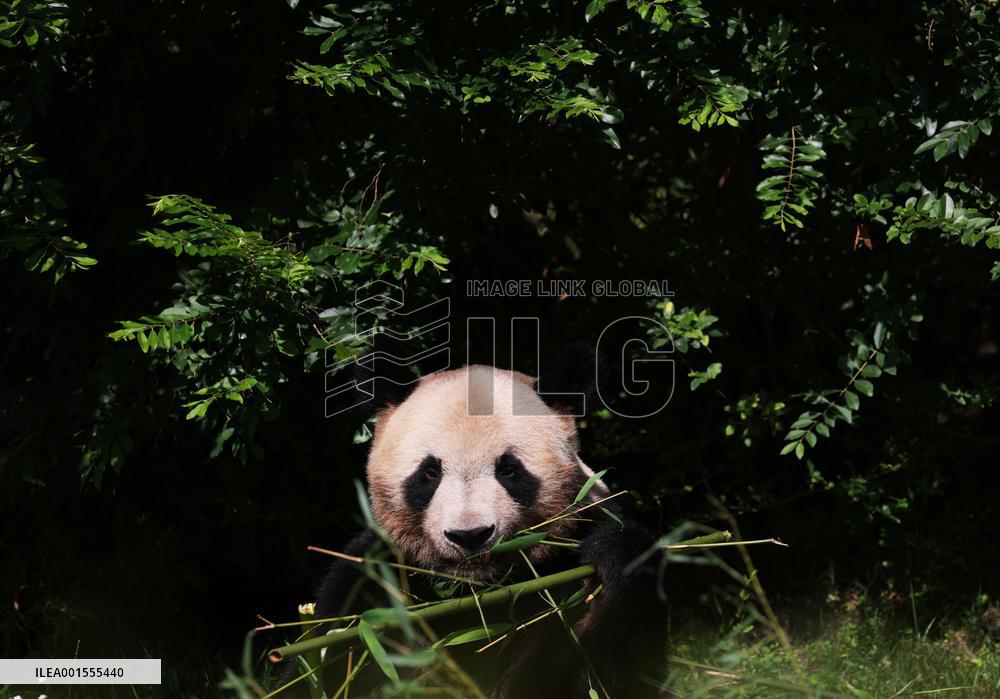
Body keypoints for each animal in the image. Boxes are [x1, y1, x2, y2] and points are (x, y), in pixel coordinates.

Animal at [301, 353, 668, 697]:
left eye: (509, 470)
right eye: (429, 472)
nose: (469, 535)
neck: (473, 588)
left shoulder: (576, 542)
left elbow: (605, 674)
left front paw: (615, 555)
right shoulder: (371, 579)